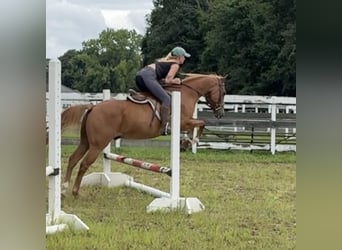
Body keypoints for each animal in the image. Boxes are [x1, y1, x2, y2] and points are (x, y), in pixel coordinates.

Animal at [61, 73, 227, 196]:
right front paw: (193, 140)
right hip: (97, 145)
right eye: (224, 92)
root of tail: (93, 107)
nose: (220, 113)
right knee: (84, 164)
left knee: (73, 159)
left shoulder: (185, 123)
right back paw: (75, 192)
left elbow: (197, 125)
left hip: (86, 142)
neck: (185, 94)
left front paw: (186, 142)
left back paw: (64, 188)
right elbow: (201, 122)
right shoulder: (184, 122)